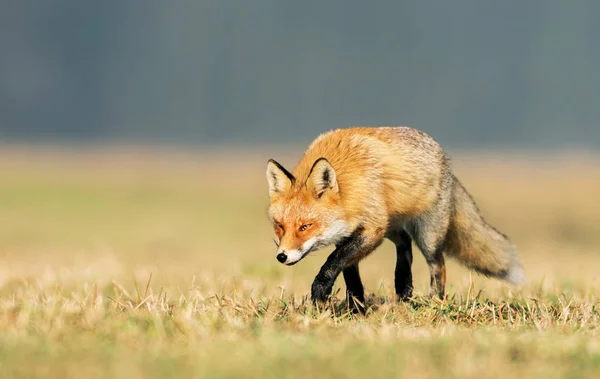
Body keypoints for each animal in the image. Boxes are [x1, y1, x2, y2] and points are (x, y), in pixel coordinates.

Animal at [264, 126, 524, 310]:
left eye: (306, 226)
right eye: (280, 226)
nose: (281, 256)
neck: (350, 188)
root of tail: (447, 163)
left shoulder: (372, 229)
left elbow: (334, 262)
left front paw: (321, 291)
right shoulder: (348, 234)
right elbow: (348, 271)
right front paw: (357, 309)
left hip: (426, 235)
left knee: (437, 264)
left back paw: (435, 302)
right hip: (392, 223)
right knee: (404, 243)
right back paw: (403, 284)